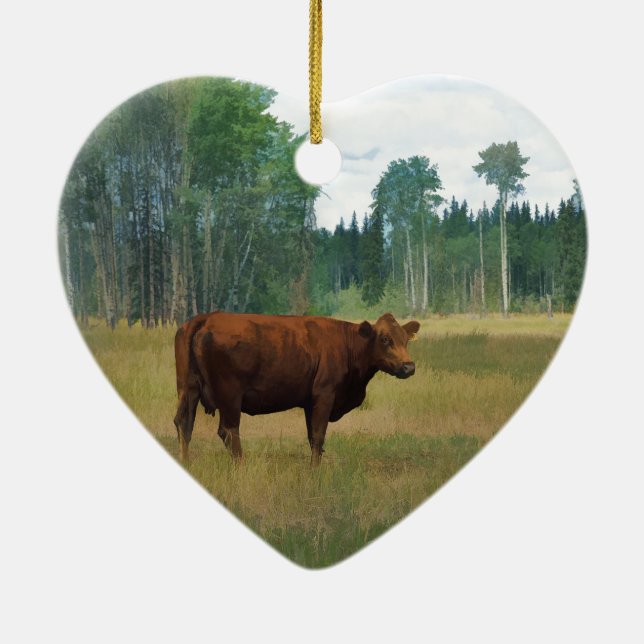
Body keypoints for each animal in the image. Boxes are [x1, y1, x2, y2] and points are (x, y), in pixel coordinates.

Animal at [173, 312, 420, 466]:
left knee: (184, 424)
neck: (348, 344)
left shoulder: (310, 403)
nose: (409, 366)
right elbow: (319, 436)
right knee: (228, 432)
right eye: (385, 339)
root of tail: (206, 318)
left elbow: (312, 437)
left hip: (188, 390)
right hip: (230, 397)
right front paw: (314, 472)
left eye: (406, 339)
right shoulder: (325, 395)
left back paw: (187, 463)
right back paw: (240, 467)